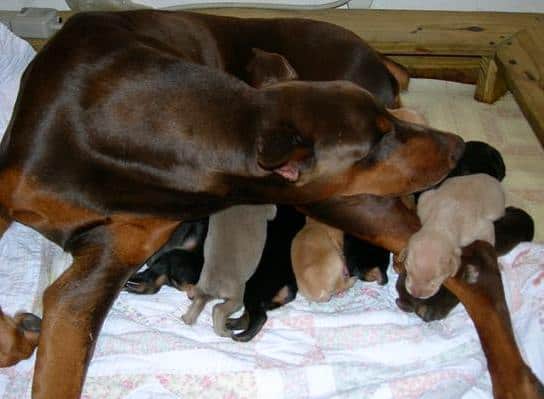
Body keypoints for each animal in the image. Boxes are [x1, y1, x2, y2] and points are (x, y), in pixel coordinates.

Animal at [183, 205, 276, 340]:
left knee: (199, 301)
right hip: (237, 299)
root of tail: (212, 285)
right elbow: (272, 211)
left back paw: (187, 318)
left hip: (203, 289)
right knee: (218, 309)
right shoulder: (266, 209)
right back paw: (224, 332)